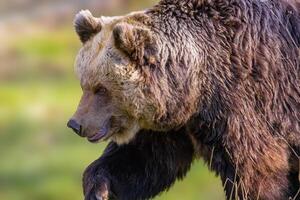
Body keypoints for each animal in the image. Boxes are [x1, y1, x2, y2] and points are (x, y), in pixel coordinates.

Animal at [67, 0, 300, 199]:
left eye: (101, 89)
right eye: (84, 84)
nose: (76, 124)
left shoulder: (248, 99)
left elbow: (254, 170)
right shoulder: (172, 122)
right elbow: (142, 160)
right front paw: (99, 188)